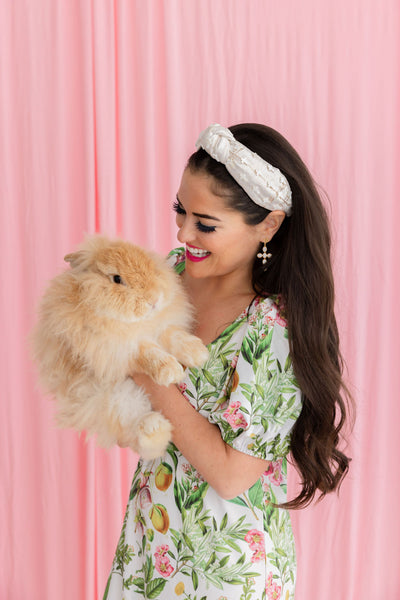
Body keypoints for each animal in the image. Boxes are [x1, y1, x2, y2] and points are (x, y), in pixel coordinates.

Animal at [30, 236, 209, 460]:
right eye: (116, 279)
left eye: (152, 268)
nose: (153, 299)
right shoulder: (117, 348)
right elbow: (149, 353)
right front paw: (171, 371)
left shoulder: (161, 327)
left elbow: (175, 337)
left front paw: (199, 354)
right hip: (110, 401)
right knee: (138, 435)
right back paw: (152, 427)